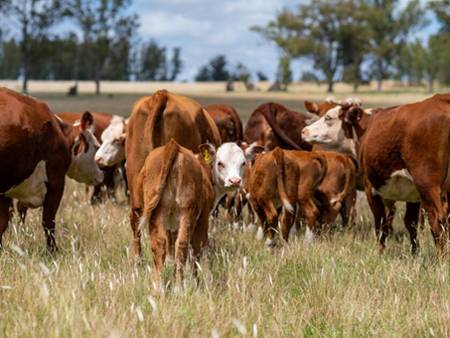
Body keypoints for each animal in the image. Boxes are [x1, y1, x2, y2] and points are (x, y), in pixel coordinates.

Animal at [0, 87, 103, 251]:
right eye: (97, 146)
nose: (101, 173)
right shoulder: (56, 182)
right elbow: (48, 221)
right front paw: (53, 251)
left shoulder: (6, 190)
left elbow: (3, 222)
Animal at [139, 139, 262, 292]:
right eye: (220, 163)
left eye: (243, 163)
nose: (234, 181)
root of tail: (174, 146)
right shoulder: (202, 218)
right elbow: (196, 252)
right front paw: (196, 284)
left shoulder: (173, 225)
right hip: (187, 212)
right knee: (183, 245)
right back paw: (179, 288)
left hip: (158, 212)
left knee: (160, 243)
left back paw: (158, 288)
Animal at [300, 95, 450, 258]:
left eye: (328, 117)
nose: (304, 131)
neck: (366, 127)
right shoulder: (413, 195)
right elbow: (411, 224)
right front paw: (414, 254)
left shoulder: (371, 190)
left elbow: (381, 225)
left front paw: (380, 254)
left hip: (426, 185)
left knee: (438, 219)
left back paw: (441, 260)